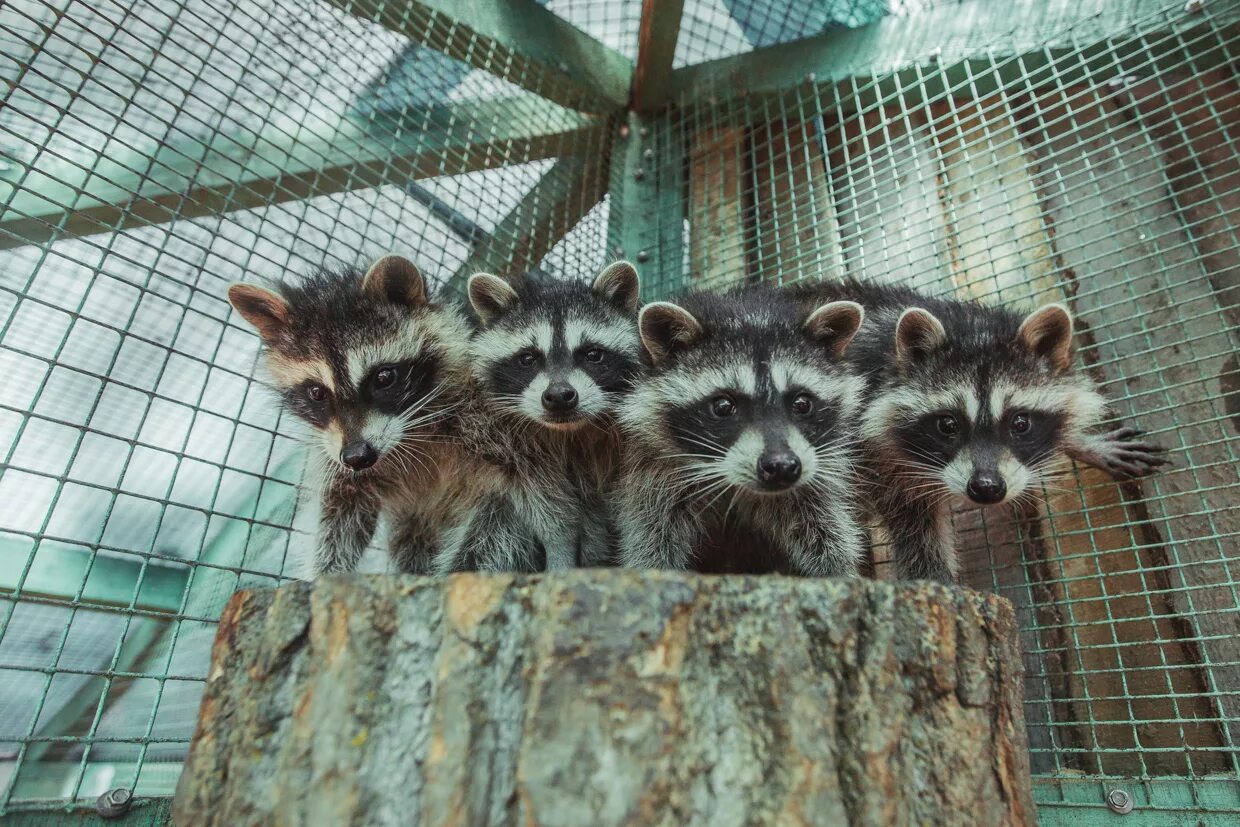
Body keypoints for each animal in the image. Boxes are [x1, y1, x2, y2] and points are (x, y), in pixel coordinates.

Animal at [228, 255, 493, 580]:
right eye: (316, 392)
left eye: (384, 378)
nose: (357, 456)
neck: (409, 433)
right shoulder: (335, 453)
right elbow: (340, 515)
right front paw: (325, 574)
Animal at [446, 261, 644, 572]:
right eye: (528, 358)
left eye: (593, 354)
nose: (560, 397)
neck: (568, 432)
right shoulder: (509, 443)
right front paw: (560, 552)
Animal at [615, 285, 868, 575]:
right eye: (723, 406)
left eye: (802, 403)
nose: (781, 466)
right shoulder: (654, 469)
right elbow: (652, 535)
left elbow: (825, 531)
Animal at [788, 281, 1165, 585]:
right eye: (948, 425)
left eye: (1020, 423)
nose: (986, 488)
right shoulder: (870, 453)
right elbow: (916, 528)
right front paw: (936, 579)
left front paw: (1082, 442)